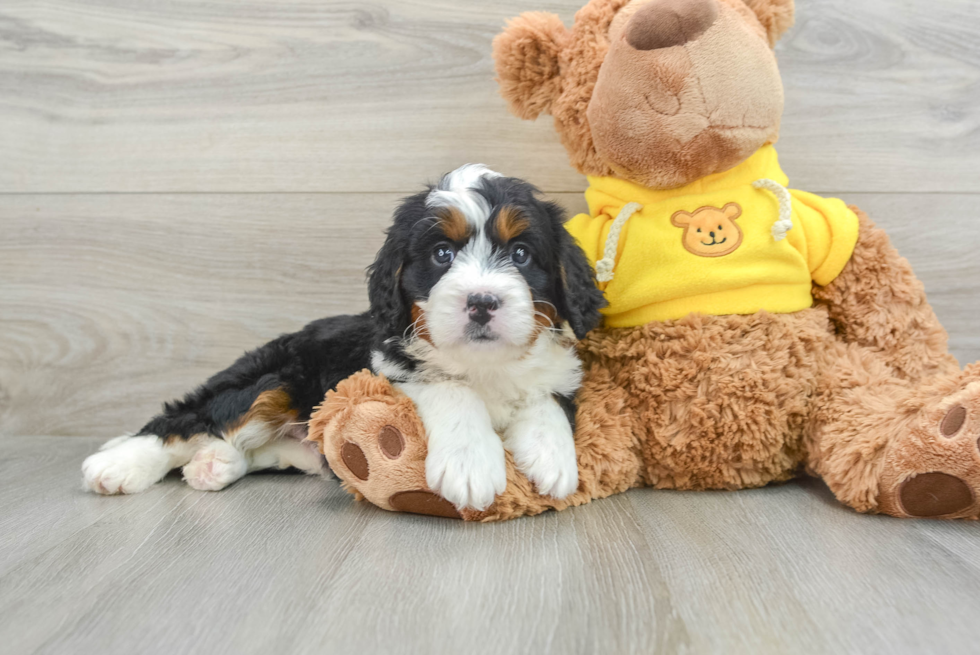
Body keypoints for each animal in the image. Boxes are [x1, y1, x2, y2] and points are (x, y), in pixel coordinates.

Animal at [82, 165, 604, 512]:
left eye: (521, 254)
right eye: (441, 254)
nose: (481, 301)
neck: (483, 364)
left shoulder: (559, 369)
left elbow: (547, 398)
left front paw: (552, 457)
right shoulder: (387, 367)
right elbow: (451, 390)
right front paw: (471, 463)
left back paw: (214, 464)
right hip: (277, 376)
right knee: (189, 419)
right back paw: (119, 465)